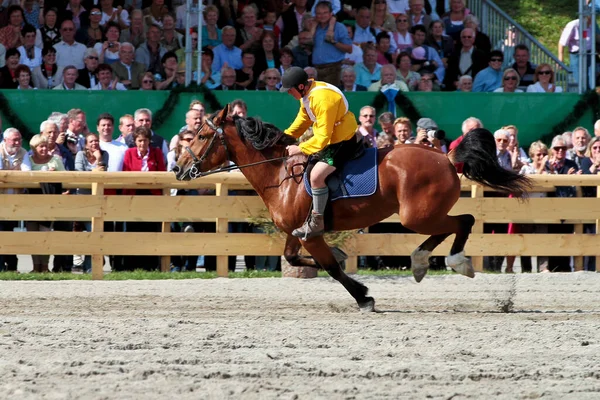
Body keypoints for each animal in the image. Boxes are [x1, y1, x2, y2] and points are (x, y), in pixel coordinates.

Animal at [173, 104, 528, 310]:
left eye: (202, 136)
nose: (178, 169)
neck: (280, 174)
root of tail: (446, 157)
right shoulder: (296, 233)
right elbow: (295, 258)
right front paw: (345, 262)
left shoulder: (311, 234)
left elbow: (331, 267)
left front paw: (363, 296)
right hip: (423, 216)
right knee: (452, 226)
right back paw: (420, 262)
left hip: (418, 216)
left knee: (463, 221)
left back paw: (454, 262)